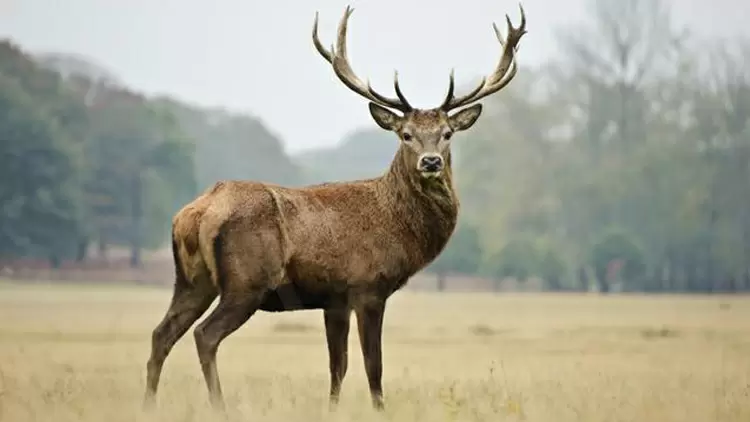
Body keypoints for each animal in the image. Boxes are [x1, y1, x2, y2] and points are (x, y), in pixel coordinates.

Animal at [142, 3, 527, 413]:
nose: (431, 162)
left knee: (161, 334)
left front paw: (332, 409)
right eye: (405, 134)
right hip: (246, 281)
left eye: (447, 133)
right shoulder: (368, 286)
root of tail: (196, 212)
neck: (397, 225)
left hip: (191, 280)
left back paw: (149, 405)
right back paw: (220, 407)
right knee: (205, 335)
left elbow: (337, 367)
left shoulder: (334, 300)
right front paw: (380, 411)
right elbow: (373, 366)